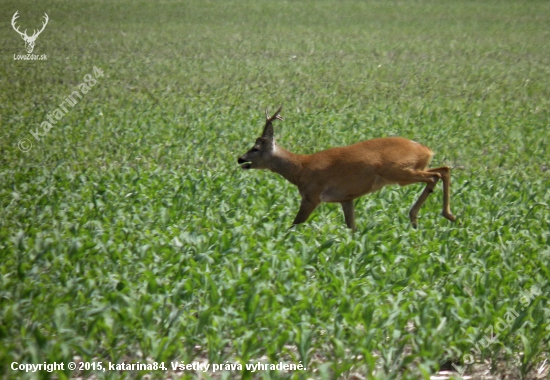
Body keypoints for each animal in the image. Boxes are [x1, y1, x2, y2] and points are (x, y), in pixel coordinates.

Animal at [237, 106, 458, 232]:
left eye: (255, 148)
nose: (240, 159)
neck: (300, 168)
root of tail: (426, 149)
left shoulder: (312, 196)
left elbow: (294, 225)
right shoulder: (346, 198)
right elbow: (352, 227)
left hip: (399, 171)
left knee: (436, 175)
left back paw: (428, 216)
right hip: (409, 170)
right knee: (443, 169)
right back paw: (437, 217)